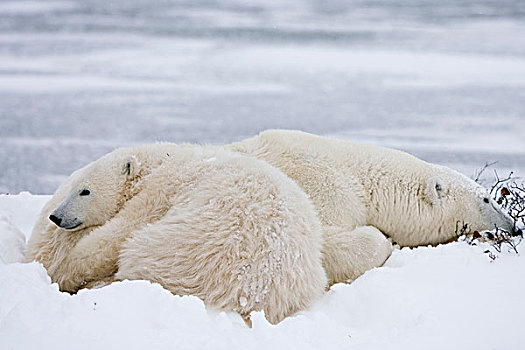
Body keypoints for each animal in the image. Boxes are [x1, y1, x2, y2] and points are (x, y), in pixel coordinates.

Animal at [26, 144, 328, 324]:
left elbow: (118, 233)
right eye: (72, 187)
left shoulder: (162, 189)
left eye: (85, 191)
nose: (56, 216)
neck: (161, 161)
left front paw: (66, 271)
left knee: (135, 250)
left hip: (182, 247)